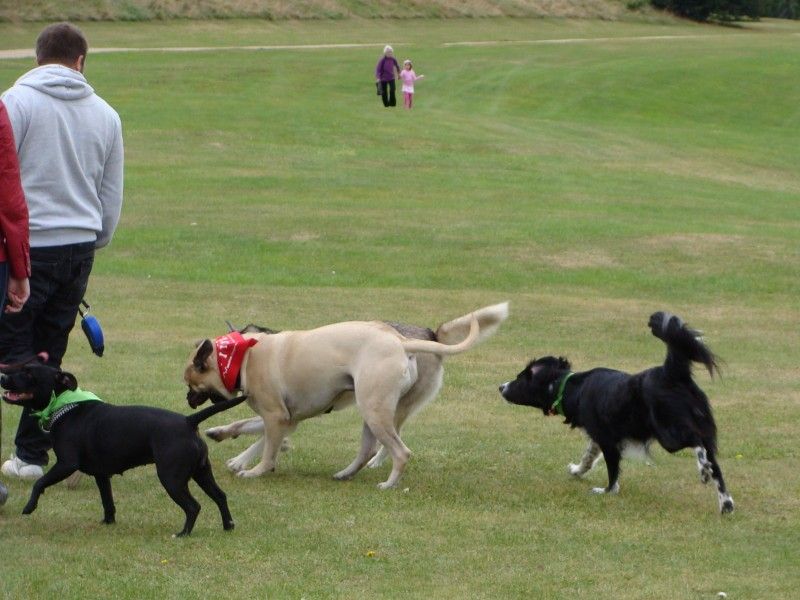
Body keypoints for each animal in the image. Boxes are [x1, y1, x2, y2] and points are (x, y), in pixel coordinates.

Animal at [0, 364, 247, 536]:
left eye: (28, 373)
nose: (3, 377)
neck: (65, 403)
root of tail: (188, 421)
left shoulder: (65, 465)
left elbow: (39, 483)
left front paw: (29, 507)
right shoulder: (101, 475)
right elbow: (107, 501)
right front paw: (107, 523)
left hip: (172, 479)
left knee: (193, 506)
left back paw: (183, 534)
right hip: (201, 473)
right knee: (220, 496)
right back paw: (228, 526)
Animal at [184, 302, 506, 490]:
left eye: (192, 383)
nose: (187, 399)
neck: (243, 355)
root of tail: (404, 342)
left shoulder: (278, 417)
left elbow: (267, 447)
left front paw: (254, 469)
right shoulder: (287, 417)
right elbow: (249, 428)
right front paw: (221, 434)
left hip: (376, 407)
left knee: (399, 450)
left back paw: (388, 483)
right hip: (374, 409)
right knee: (368, 449)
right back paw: (346, 473)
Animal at [500, 312, 736, 512]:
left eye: (520, 378)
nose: (501, 386)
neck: (570, 387)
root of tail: (672, 373)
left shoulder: (608, 441)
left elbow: (612, 471)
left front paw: (606, 491)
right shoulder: (598, 437)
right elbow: (588, 457)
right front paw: (576, 470)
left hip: (669, 434)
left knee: (697, 443)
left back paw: (703, 470)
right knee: (716, 467)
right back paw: (726, 504)